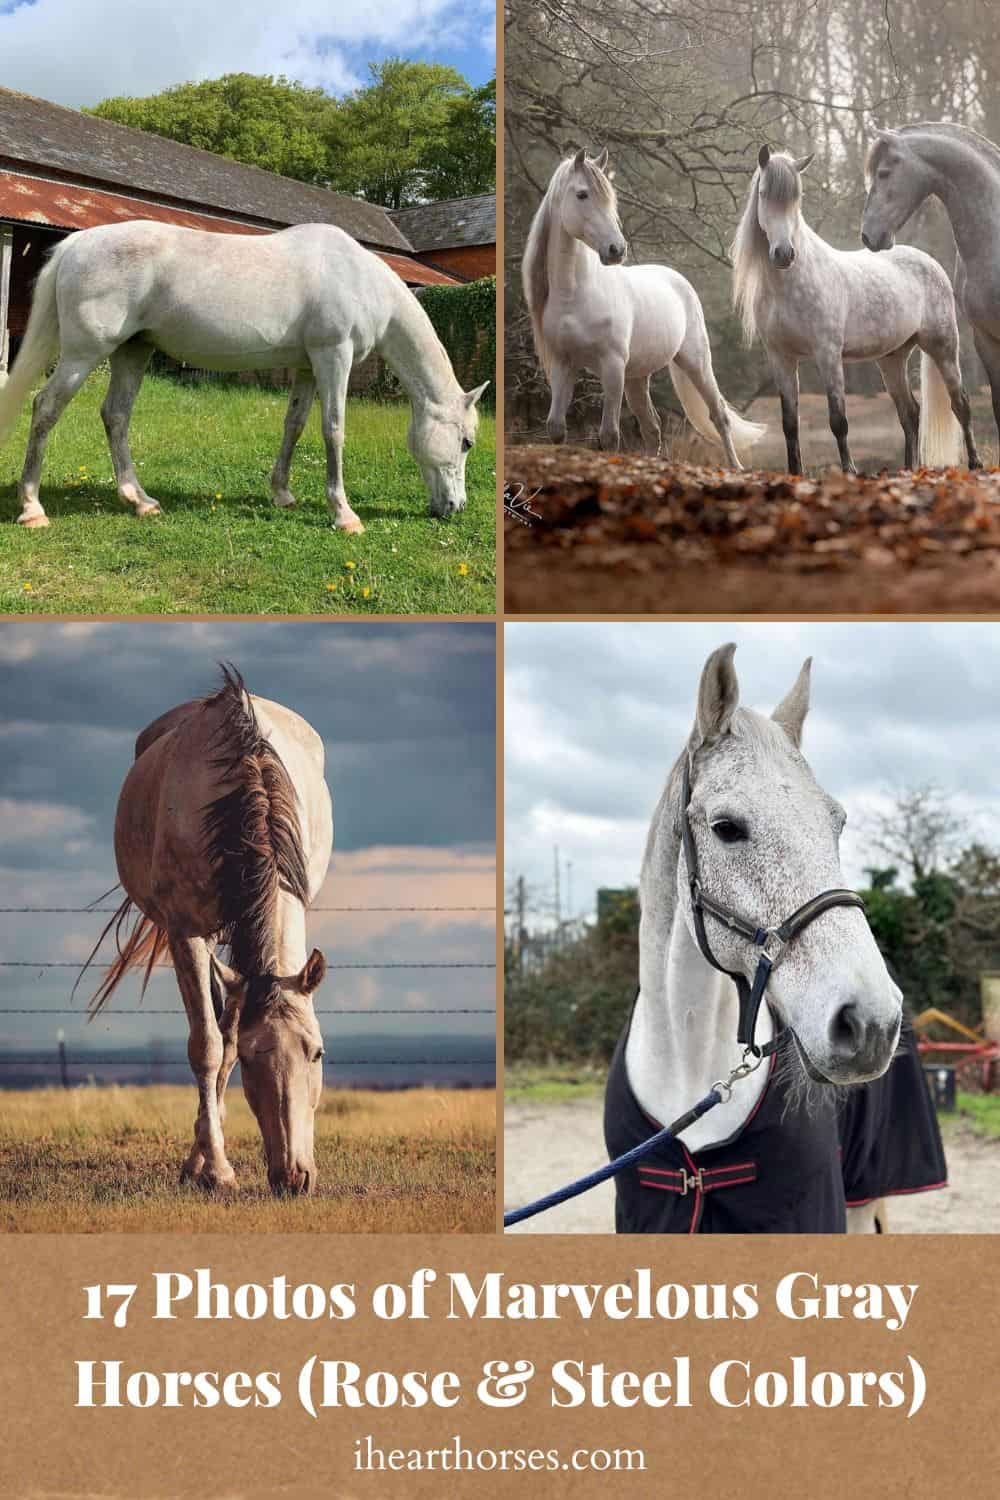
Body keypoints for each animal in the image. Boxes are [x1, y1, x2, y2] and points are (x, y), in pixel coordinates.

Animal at [0, 221, 489, 531]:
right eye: (466, 442)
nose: (455, 507)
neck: (358, 278)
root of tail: (74, 245)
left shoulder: (308, 365)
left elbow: (295, 425)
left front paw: (282, 495)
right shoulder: (334, 356)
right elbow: (333, 429)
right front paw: (344, 515)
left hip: (131, 352)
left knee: (115, 416)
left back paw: (140, 501)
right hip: (84, 354)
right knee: (46, 408)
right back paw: (32, 508)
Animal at [84, 664, 333, 1196]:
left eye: (317, 1053)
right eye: (258, 1063)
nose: (294, 1178)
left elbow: (226, 1043)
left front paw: (207, 1161)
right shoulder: (186, 932)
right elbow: (209, 1048)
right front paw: (215, 1169)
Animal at [522, 149, 766, 467]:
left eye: (610, 198)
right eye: (582, 194)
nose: (617, 250)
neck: (575, 294)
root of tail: (678, 281)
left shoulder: (612, 366)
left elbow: (610, 436)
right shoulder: (564, 364)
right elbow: (555, 428)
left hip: (696, 363)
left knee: (718, 416)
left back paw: (736, 466)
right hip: (636, 378)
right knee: (652, 427)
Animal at [732, 146, 980, 473]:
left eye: (796, 198)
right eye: (763, 193)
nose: (784, 254)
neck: (789, 285)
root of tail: (930, 262)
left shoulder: (828, 355)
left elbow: (838, 420)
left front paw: (850, 471)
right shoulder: (781, 358)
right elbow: (789, 424)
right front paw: (795, 473)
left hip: (943, 347)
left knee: (960, 404)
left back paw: (975, 463)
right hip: (892, 358)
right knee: (910, 413)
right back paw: (908, 469)